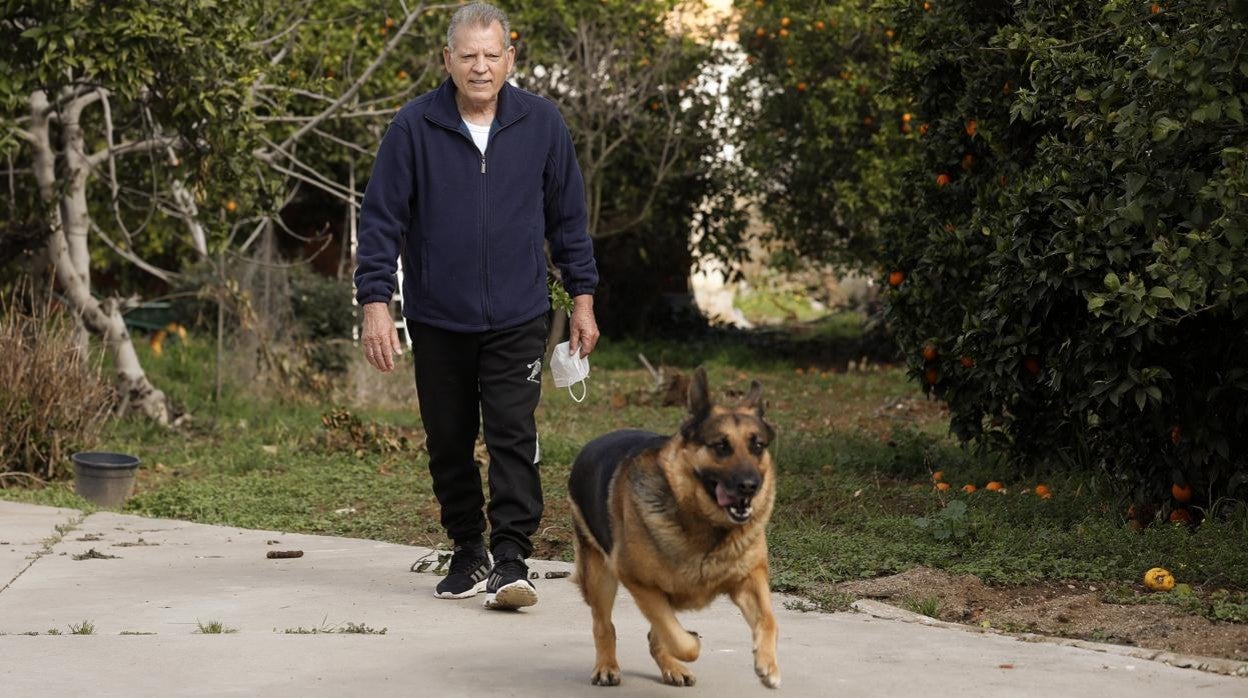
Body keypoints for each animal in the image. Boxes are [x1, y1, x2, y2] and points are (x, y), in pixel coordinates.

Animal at [569, 369, 778, 689]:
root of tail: (593, 443)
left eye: (757, 446)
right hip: (601, 577)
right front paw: (692, 642)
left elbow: (769, 620)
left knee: (655, 633)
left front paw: (767, 664)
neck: (709, 528)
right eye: (721, 446)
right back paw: (606, 666)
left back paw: (671, 667)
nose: (750, 486)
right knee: (605, 625)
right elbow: (682, 642)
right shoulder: (638, 582)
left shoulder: (749, 579)